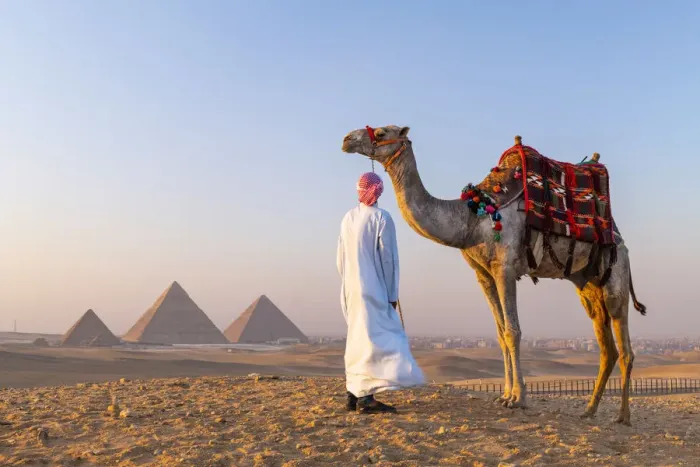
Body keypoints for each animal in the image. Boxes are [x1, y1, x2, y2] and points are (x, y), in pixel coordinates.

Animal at [341, 125, 647, 425]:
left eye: (382, 132)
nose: (346, 139)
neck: (473, 218)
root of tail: (619, 238)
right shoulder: (483, 274)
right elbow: (500, 334)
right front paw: (505, 395)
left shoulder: (505, 268)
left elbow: (513, 331)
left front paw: (518, 398)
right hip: (587, 283)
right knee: (607, 346)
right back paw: (589, 410)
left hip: (615, 273)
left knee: (625, 346)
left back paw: (623, 416)